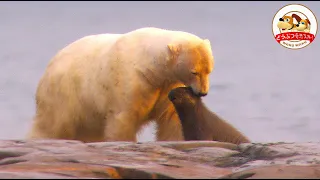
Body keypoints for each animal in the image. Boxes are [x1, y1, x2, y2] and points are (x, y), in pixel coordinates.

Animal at [26, 27, 212, 142]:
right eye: (194, 72)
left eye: (209, 70)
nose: (202, 92)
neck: (150, 66)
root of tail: (49, 66)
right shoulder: (130, 80)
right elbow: (123, 118)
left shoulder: (167, 85)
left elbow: (171, 118)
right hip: (64, 95)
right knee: (52, 125)